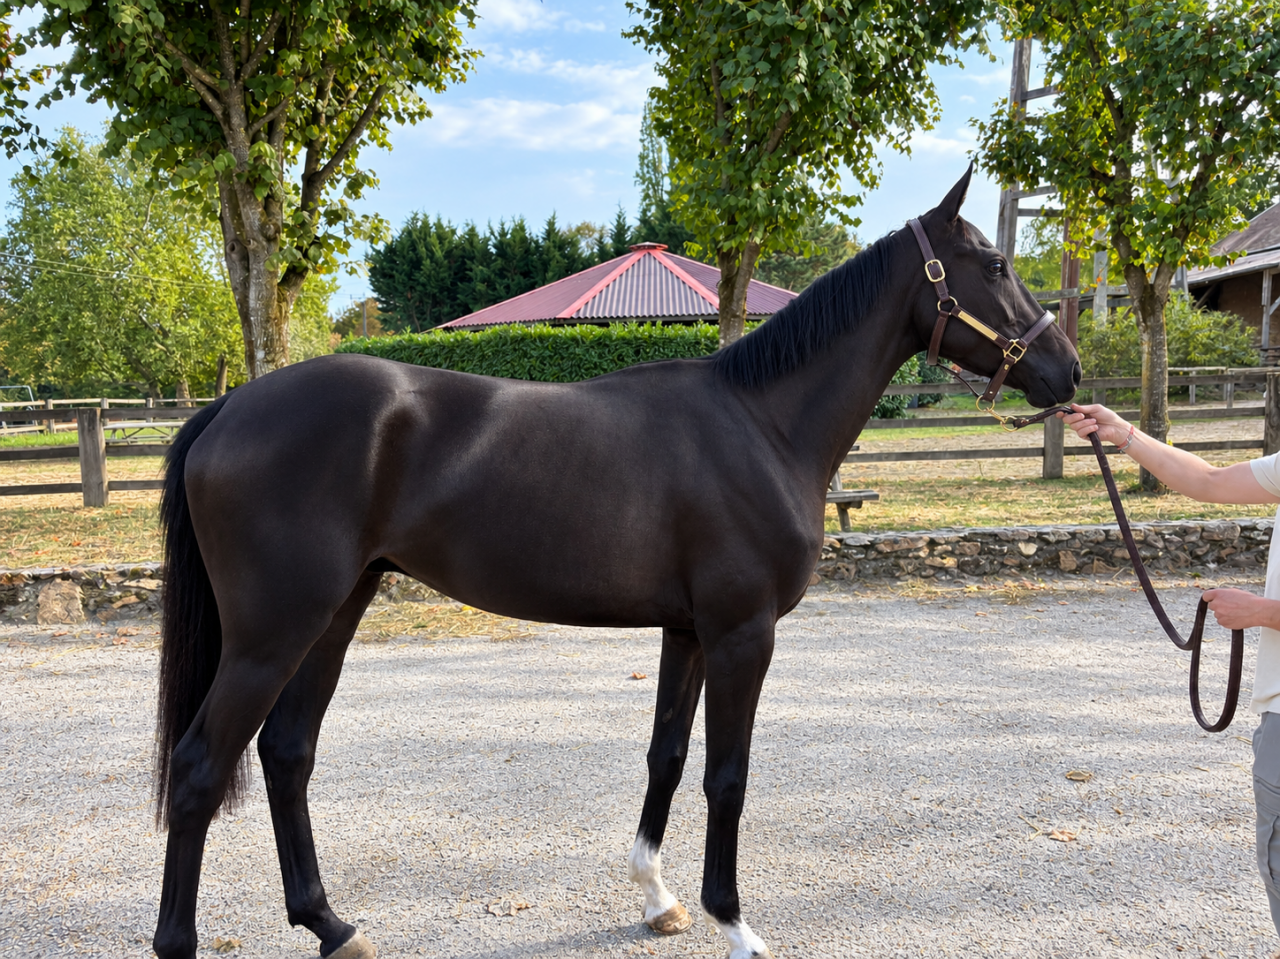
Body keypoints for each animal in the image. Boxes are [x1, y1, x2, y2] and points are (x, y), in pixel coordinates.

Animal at [149, 166, 1081, 959]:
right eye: (995, 263)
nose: (1066, 369)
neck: (761, 422)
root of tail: (230, 406)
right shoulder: (743, 635)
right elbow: (727, 776)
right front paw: (734, 922)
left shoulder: (689, 631)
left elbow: (666, 754)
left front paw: (656, 897)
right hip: (273, 633)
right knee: (200, 769)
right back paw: (185, 939)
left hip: (336, 612)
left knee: (287, 753)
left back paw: (332, 924)